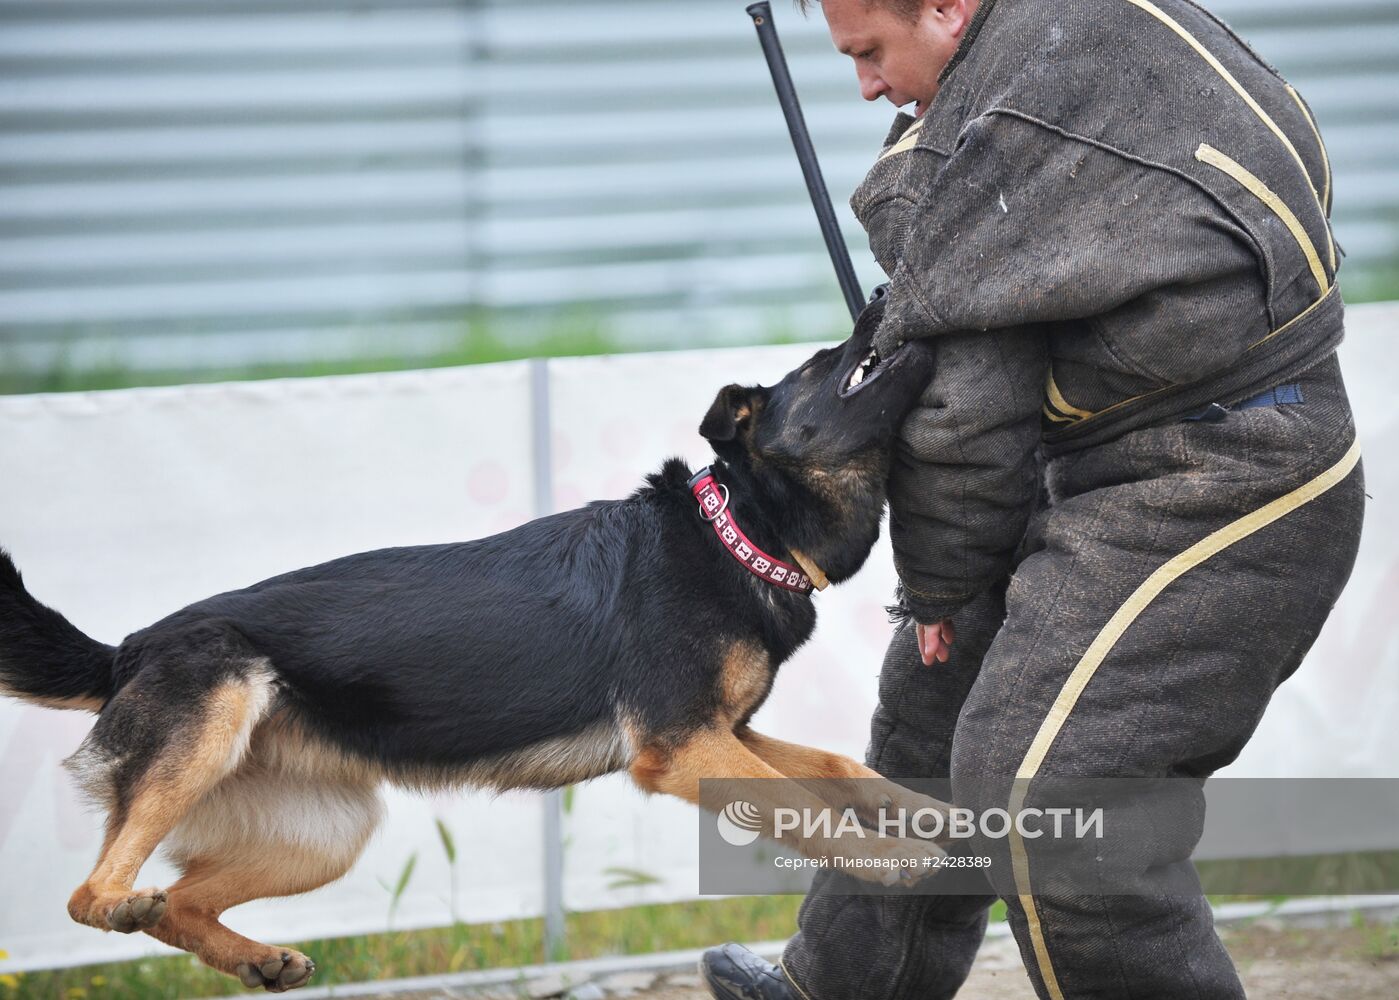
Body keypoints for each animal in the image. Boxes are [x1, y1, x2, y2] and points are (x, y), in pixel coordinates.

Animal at [0, 299, 945, 995]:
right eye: (827, 359)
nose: (883, 290)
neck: (736, 532)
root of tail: (127, 648)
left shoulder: (726, 736)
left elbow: (835, 770)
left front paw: (928, 817)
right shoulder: (683, 748)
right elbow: (809, 808)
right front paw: (897, 861)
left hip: (325, 833)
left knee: (178, 901)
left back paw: (253, 958)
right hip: (218, 710)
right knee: (94, 895)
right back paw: (128, 909)